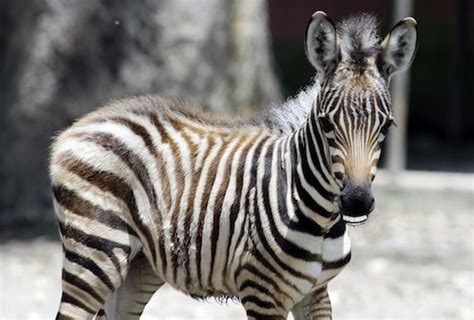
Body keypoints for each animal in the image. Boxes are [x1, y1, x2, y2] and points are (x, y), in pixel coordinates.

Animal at [50, 10, 416, 320]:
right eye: (326, 123)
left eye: (387, 126)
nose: (356, 201)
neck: (320, 214)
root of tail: (85, 121)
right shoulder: (262, 292)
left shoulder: (316, 293)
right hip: (94, 251)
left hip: (137, 265)